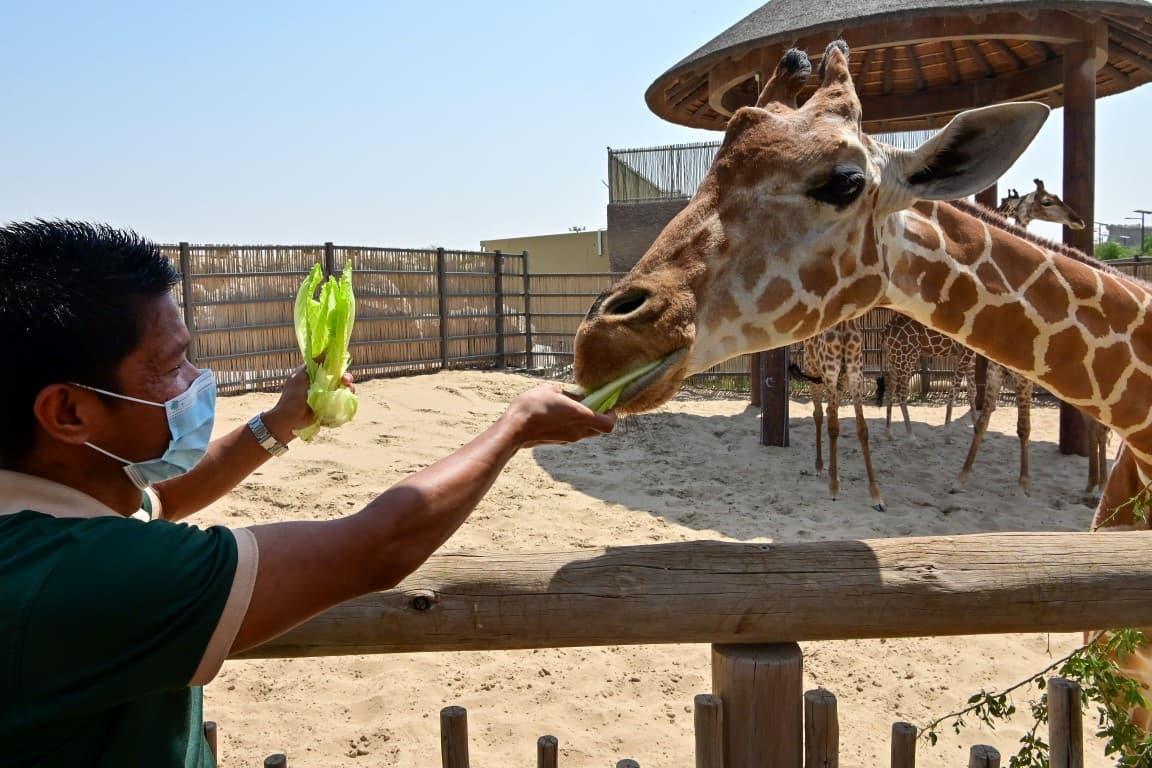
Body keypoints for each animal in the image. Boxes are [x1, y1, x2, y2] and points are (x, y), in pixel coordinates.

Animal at [791, 318, 884, 510]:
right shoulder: (830, 374)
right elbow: (833, 428)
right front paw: (833, 488)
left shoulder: (856, 376)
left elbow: (862, 429)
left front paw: (876, 495)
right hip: (814, 371)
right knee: (818, 414)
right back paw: (819, 467)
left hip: (837, 381)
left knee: (828, 412)